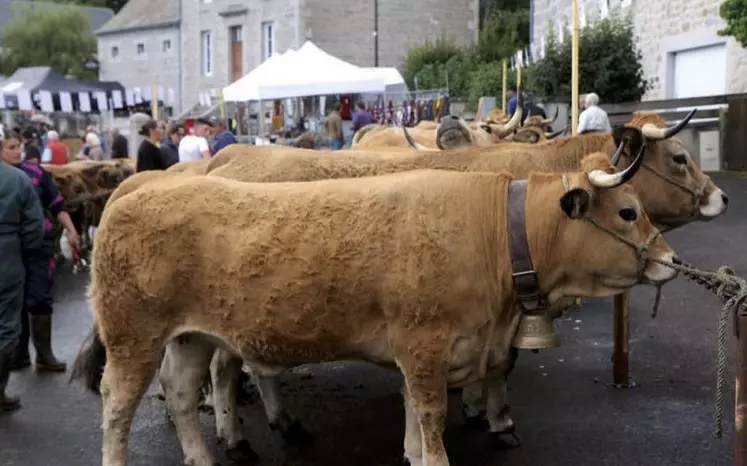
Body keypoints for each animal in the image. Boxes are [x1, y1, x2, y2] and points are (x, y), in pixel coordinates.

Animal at [71, 150, 676, 466]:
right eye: (627, 211)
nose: (671, 259)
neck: (494, 233)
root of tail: (134, 193)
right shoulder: (426, 346)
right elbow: (430, 420)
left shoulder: (421, 349)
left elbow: (412, 416)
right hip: (133, 338)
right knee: (117, 408)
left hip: (190, 337)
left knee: (178, 394)